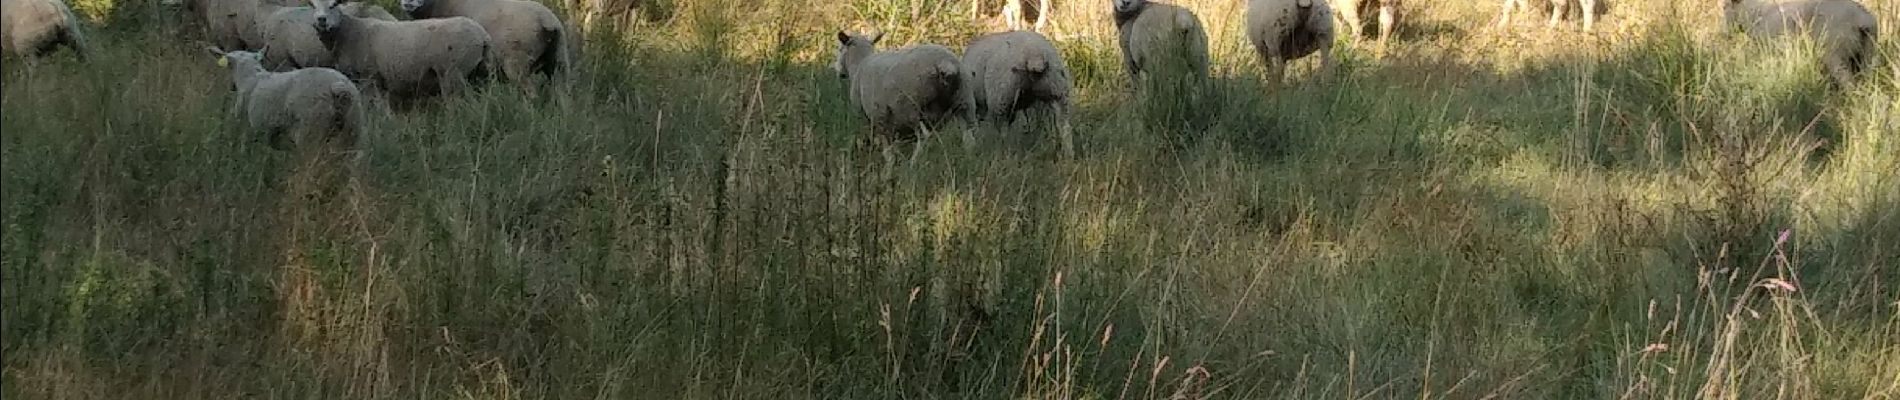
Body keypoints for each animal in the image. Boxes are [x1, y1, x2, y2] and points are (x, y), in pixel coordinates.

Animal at [209, 47, 368, 150]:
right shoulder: (272, 134)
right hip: (352, 131)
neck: (250, 76)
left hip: (311, 129)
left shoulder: (248, 128)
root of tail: (338, 86)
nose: (231, 87)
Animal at [307, 0, 494, 103]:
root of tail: (483, 36)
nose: (321, 20)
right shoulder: (378, 79)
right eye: (312, 5)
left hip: (452, 73)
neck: (349, 31)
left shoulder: (368, 77)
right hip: (479, 71)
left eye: (334, 4)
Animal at [832, 29, 980, 163]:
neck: (859, 64)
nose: (839, 72)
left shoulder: (876, 118)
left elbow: (887, 150)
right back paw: (970, 160)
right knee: (970, 139)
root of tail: (946, 63)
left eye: (840, 49)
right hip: (965, 102)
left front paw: (889, 167)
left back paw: (912, 164)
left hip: (911, 108)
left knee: (923, 137)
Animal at [1725, 0, 1884, 85]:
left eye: (1725, 6)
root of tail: (1861, 18)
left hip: (1834, 52)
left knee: (1848, 83)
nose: (1725, 34)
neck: (1754, 14)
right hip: (1868, 52)